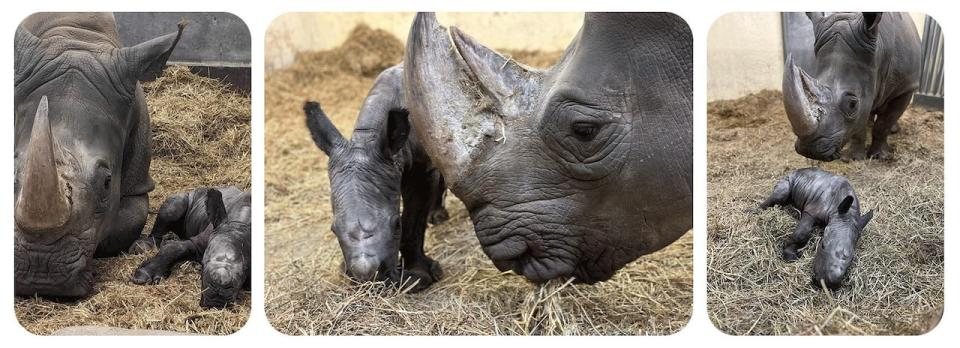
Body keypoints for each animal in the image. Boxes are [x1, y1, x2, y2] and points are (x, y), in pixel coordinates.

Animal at [14, 65, 251, 334]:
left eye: (244, 271)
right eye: (207, 257)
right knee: (172, 207)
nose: (219, 288)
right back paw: (143, 246)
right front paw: (144, 275)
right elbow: (175, 246)